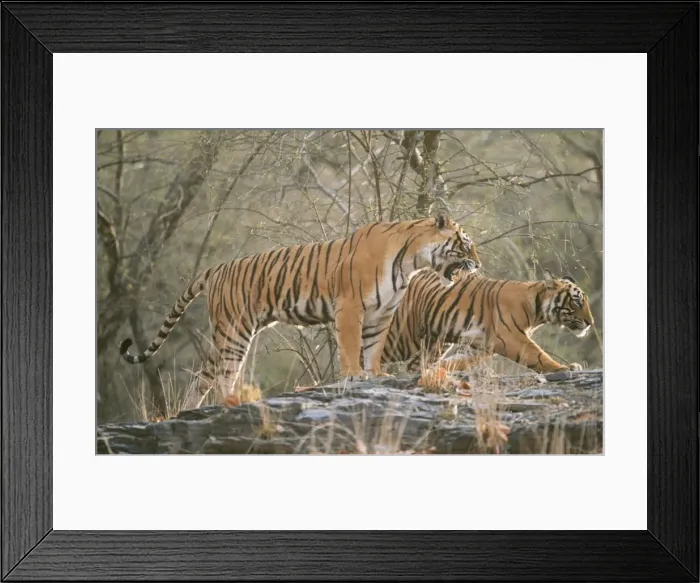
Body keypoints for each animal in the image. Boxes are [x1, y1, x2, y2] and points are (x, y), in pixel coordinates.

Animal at [119, 211, 481, 407]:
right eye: (466, 243)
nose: (478, 264)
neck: (411, 262)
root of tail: (217, 268)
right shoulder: (350, 306)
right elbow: (351, 346)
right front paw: (353, 375)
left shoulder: (382, 313)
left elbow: (373, 348)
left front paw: (375, 374)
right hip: (235, 331)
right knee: (225, 374)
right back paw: (232, 401)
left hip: (223, 334)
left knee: (202, 378)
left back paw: (187, 410)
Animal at [381, 264, 595, 374]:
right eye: (576, 301)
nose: (590, 323)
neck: (538, 312)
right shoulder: (511, 337)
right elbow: (538, 355)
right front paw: (564, 368)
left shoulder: (481, 345)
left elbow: (460, 361)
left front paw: (439, 370)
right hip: (403, 337)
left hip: (434, 342)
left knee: (414, 365)